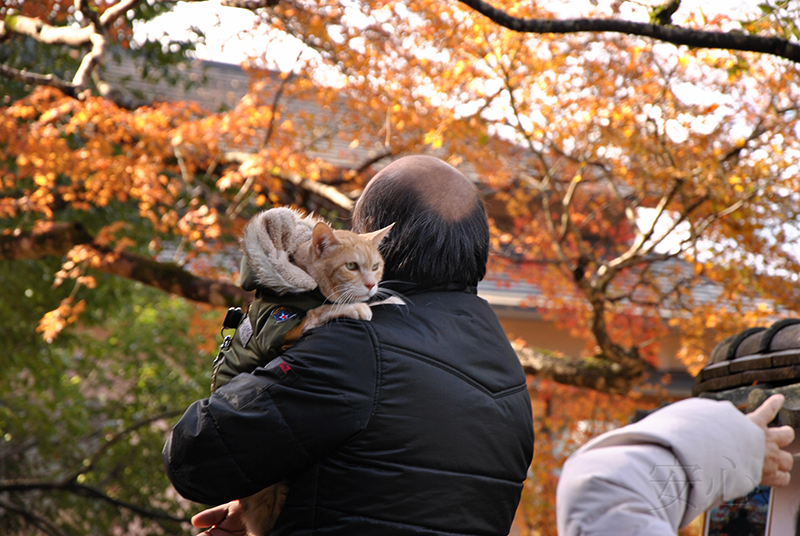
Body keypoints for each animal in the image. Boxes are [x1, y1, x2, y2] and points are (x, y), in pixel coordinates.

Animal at [236, 219, 392, 536]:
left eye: (376, 266)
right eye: (351, 266)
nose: (371, 285)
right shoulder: (280, 326)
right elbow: (324, 310)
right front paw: (355, 307)